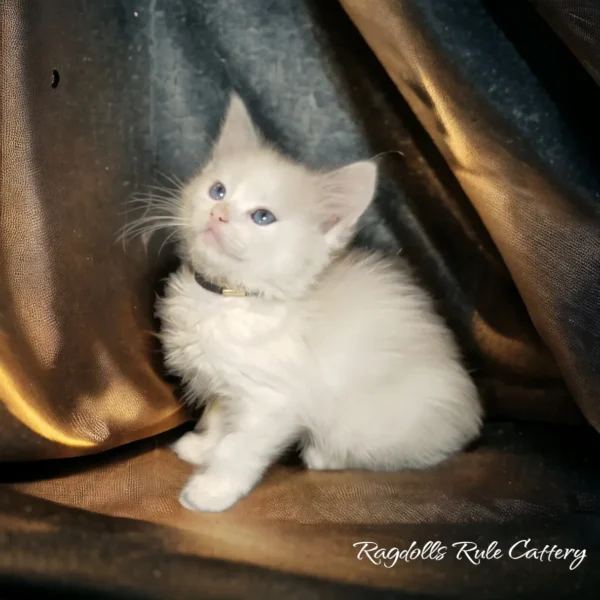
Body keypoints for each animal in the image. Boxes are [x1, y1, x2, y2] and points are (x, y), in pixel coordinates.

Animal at [156, 92, 482, 510]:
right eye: (218, 191)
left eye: (262, 217)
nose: (218, 213)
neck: (230, 298)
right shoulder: (224, 381)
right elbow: (218, 415)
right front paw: (202, 448)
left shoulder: (273, 400)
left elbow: (238, 448)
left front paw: (212, 490)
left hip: (368, 420)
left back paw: (323, 455)